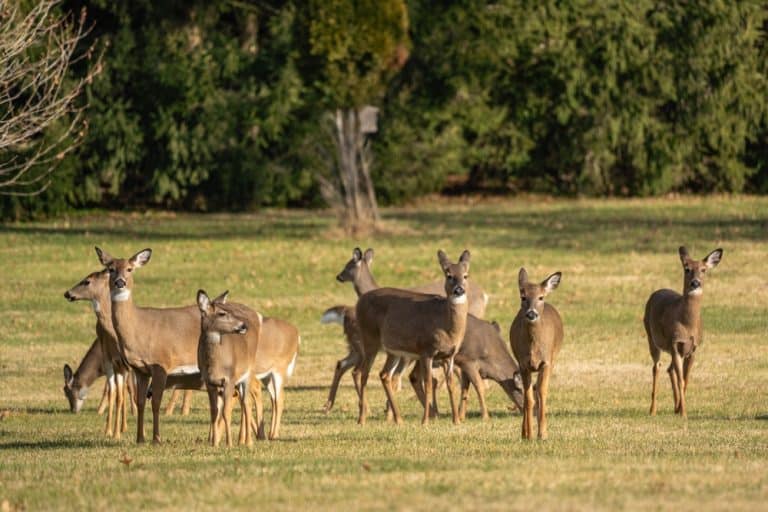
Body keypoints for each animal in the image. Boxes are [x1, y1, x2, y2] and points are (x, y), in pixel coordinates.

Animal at [63, 269, 135, 438]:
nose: (67, 293)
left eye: (87, 281)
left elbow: (122, 393)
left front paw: (119, 430)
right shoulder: (110, 362)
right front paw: (109, 430)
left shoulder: (123, 364)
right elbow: (113, 393)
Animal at [95, 246, 205, 444]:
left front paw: (156, 439)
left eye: (130, 269)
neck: (140, 329)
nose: (120, 282)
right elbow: (140, 402)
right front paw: (140, 438)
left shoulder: (161, 363)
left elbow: (155, 402)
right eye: (111, 269)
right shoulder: (140, 369)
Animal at [355, 249, 471, 425]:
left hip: (393, 350)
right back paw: (361, 419)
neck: (446, 326)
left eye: (465, 275)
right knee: (363, 373)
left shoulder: (449, 355)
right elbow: (428, 384)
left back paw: (399, 419)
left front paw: (456, 421)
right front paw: (425, 421)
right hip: (369, 338)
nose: (459, 290)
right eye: (449, 275)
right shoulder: (426, 350)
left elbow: (451, 384)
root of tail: (359, 301)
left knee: (384, 374)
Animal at [510, 268, 563, 440]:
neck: (534, 348)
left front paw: (543, 433)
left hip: (553, 359)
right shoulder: (523, 364)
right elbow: (528, 398)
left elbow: (542, 393)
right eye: (523, 296)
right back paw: (524, 432)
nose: (531, 314)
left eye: (541, 297)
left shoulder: (546, 362)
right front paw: (529, 434)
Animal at [645, 246, 723, 418]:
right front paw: (684, 413)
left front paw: (680, 409)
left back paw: (674, 407)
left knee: (669, 369)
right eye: (687, 269)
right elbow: (681, 379)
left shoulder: (693, 348)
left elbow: (686, 379)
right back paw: (652, 410)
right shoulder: (675, 342)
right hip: (652, 337)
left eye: (704, 270)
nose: (695, 282)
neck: (687, 325)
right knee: (656, 367)